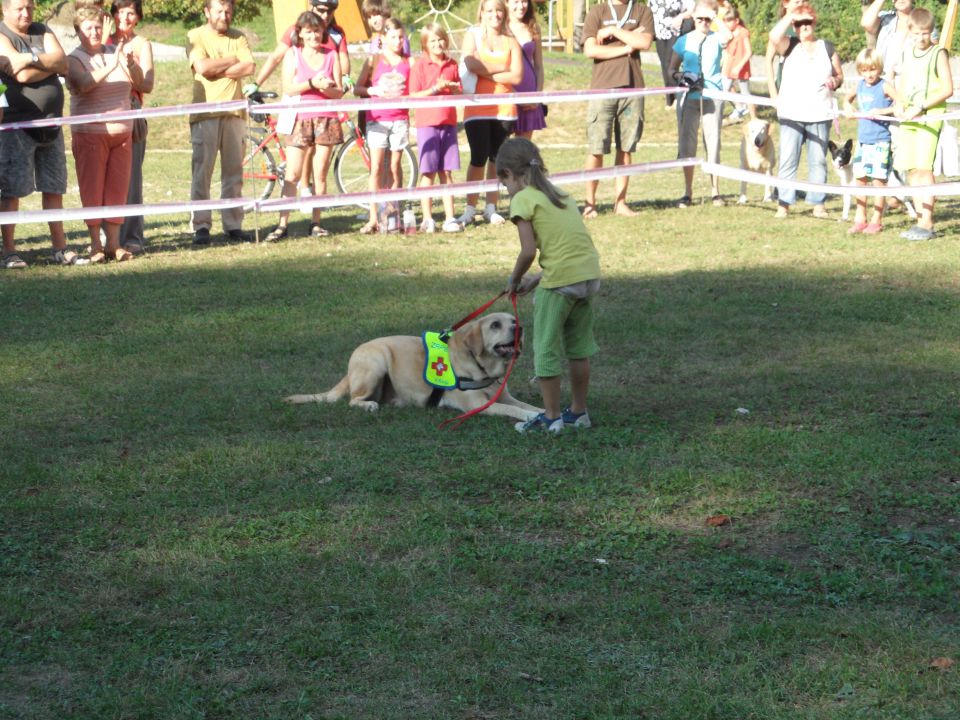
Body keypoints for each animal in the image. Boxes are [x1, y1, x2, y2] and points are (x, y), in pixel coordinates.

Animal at [282, 310, 544, 422]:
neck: (482, 365)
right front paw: (531, 416)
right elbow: (514, 410)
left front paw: (542, 412)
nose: (520, 328)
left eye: (513, 321)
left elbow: (524, 405)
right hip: (376, 363)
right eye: (495, 325)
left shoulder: (505, 397)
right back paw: (368, 406)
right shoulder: (479, 405)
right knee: (353, 400)